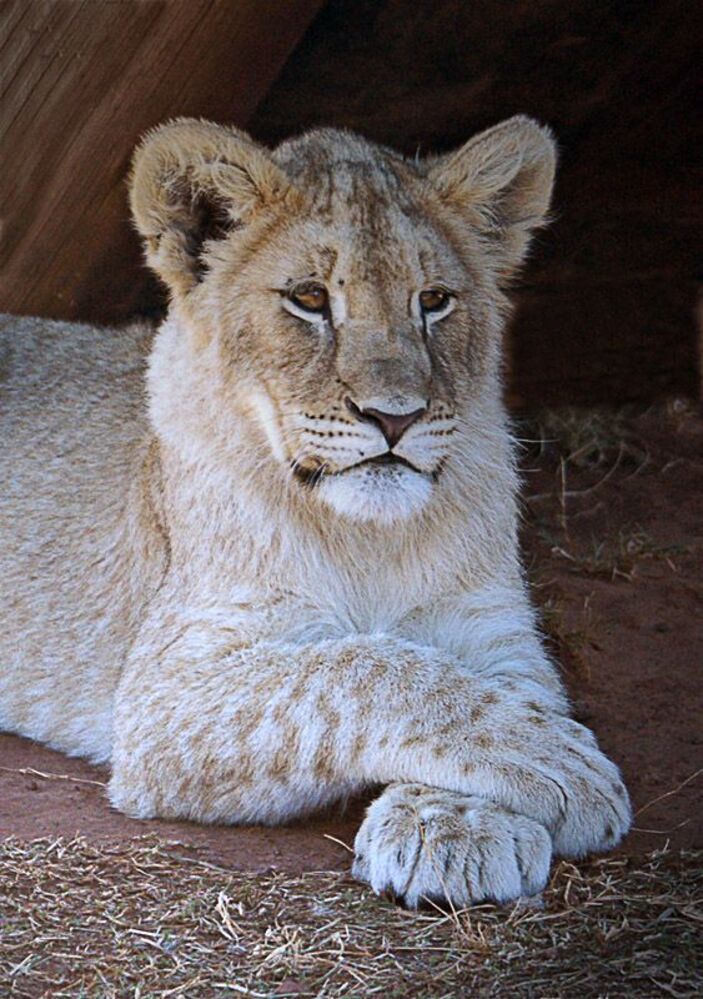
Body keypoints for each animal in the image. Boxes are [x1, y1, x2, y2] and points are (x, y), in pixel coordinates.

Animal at [0, 116, 631, 907]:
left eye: (434, 300)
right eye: (307, 297)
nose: (396, 417)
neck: (365, 538)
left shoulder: (492, 626)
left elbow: (508, 690)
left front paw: (455, 826)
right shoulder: (161, 696)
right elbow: (361, 667)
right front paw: (561, 767)